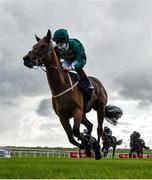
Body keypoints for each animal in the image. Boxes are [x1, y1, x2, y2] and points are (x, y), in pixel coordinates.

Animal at [22, 29, 122, 160]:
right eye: (34, 46)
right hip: (84, 114)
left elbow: (75, 131)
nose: (26, 59)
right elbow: (71, 137)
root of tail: (99, 83)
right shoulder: (62, 117)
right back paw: (91, 143)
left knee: (99, 129)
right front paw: (87, 146)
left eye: (43, 46)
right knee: (89, 125)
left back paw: (98, 150)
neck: (61, 87)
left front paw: (89, 144)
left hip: (99, 108)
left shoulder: (77, 111)